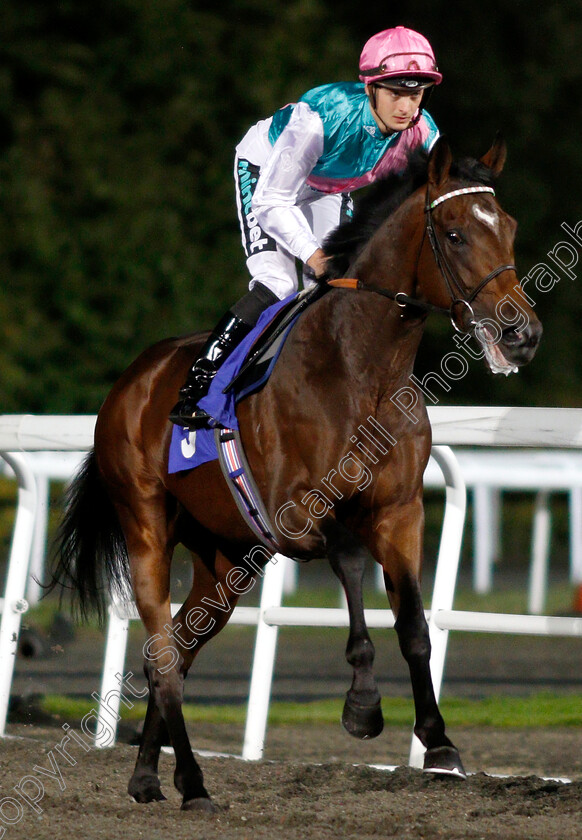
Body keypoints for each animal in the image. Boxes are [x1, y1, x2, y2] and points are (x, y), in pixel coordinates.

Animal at [51, 135, 544, 812]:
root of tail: (132, 380)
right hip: (147, 524)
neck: (361, 370)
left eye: (511, 228)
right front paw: (363, 705)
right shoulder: (297, 513)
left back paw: (151, 775)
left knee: (176, 649)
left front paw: (439, 742)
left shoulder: (401, 511)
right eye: (454, 233)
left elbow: (415, 623)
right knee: (163, 653)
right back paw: (194, 783)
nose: (522, 333)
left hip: (225, 560)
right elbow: (351, 561)